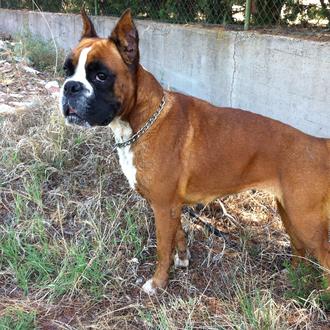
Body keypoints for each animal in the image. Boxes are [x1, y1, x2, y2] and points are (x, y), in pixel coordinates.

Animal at [60, 9, 330, 296]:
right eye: (67, 70)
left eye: (101, 75)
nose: (70, 87)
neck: (142, 121)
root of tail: (319, 143)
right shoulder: (171, 206)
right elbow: (178, 235)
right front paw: (183, 260)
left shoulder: (162, 207)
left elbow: (162, 249)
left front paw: (158, 283)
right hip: (290, 213)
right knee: (300, 249)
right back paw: (294, 277)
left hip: (306, 220)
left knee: (324, 257)